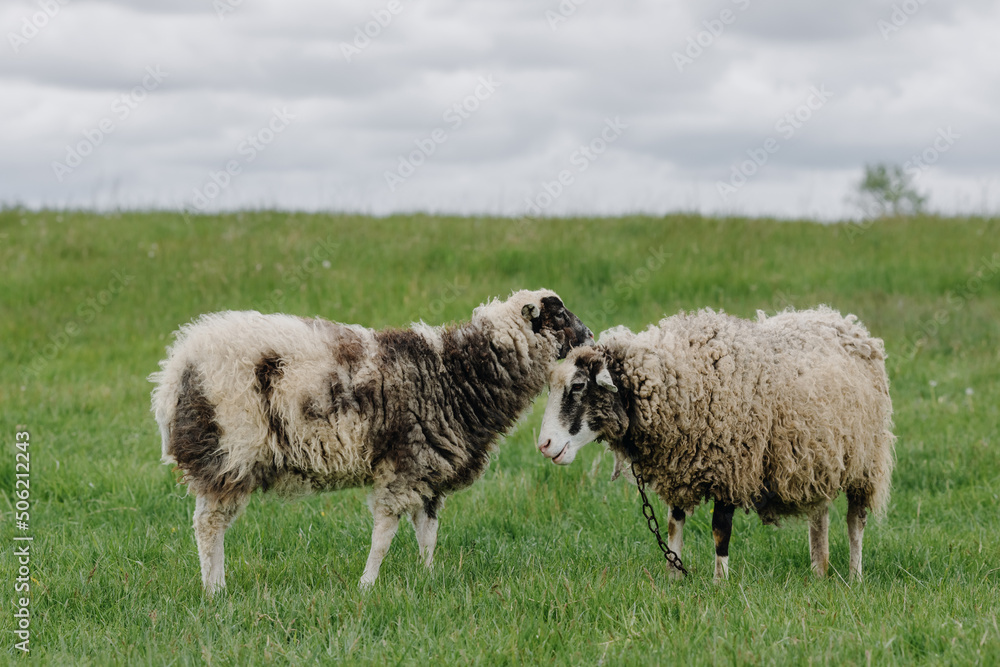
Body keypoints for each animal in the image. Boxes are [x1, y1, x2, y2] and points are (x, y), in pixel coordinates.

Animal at [151, 289, 593, 594]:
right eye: (559, 315)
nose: (590, 335)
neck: (457, 372)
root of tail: (174, 369)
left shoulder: (429, 470)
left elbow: (427, 533)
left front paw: (428, 577)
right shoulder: (404, 466)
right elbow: (384, 535)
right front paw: (367, 585)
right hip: (228, 454)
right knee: (208, 526)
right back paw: (214, 590)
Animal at [537, 307, 895, 581]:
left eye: (578, 386)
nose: (544, 444)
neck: (680, 380)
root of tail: (843, 321)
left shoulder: (731, 466)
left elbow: (720, 529)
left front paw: (719, 582)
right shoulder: (679, 466)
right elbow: (673, 524)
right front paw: (674, 577)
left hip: (865, 463)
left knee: (855, 522)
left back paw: (854, 577)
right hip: (817, 458)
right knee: (819, 515)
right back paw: (819, 571)